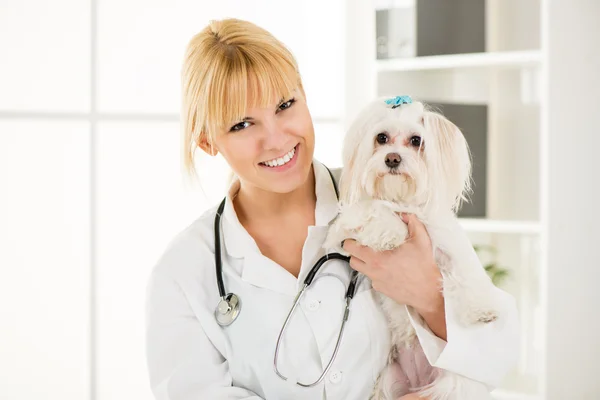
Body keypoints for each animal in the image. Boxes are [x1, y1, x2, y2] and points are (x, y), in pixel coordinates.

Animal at [324, 97, 502, 400]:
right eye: (381, 138)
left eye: (416, 140)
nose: (392, 158)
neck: (402, 201)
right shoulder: (346, 228)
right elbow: (375, 210)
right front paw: (392, 233)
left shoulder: (449, 245)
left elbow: (465, 273)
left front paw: (480, 307)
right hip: (388, 381)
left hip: (455, 382)